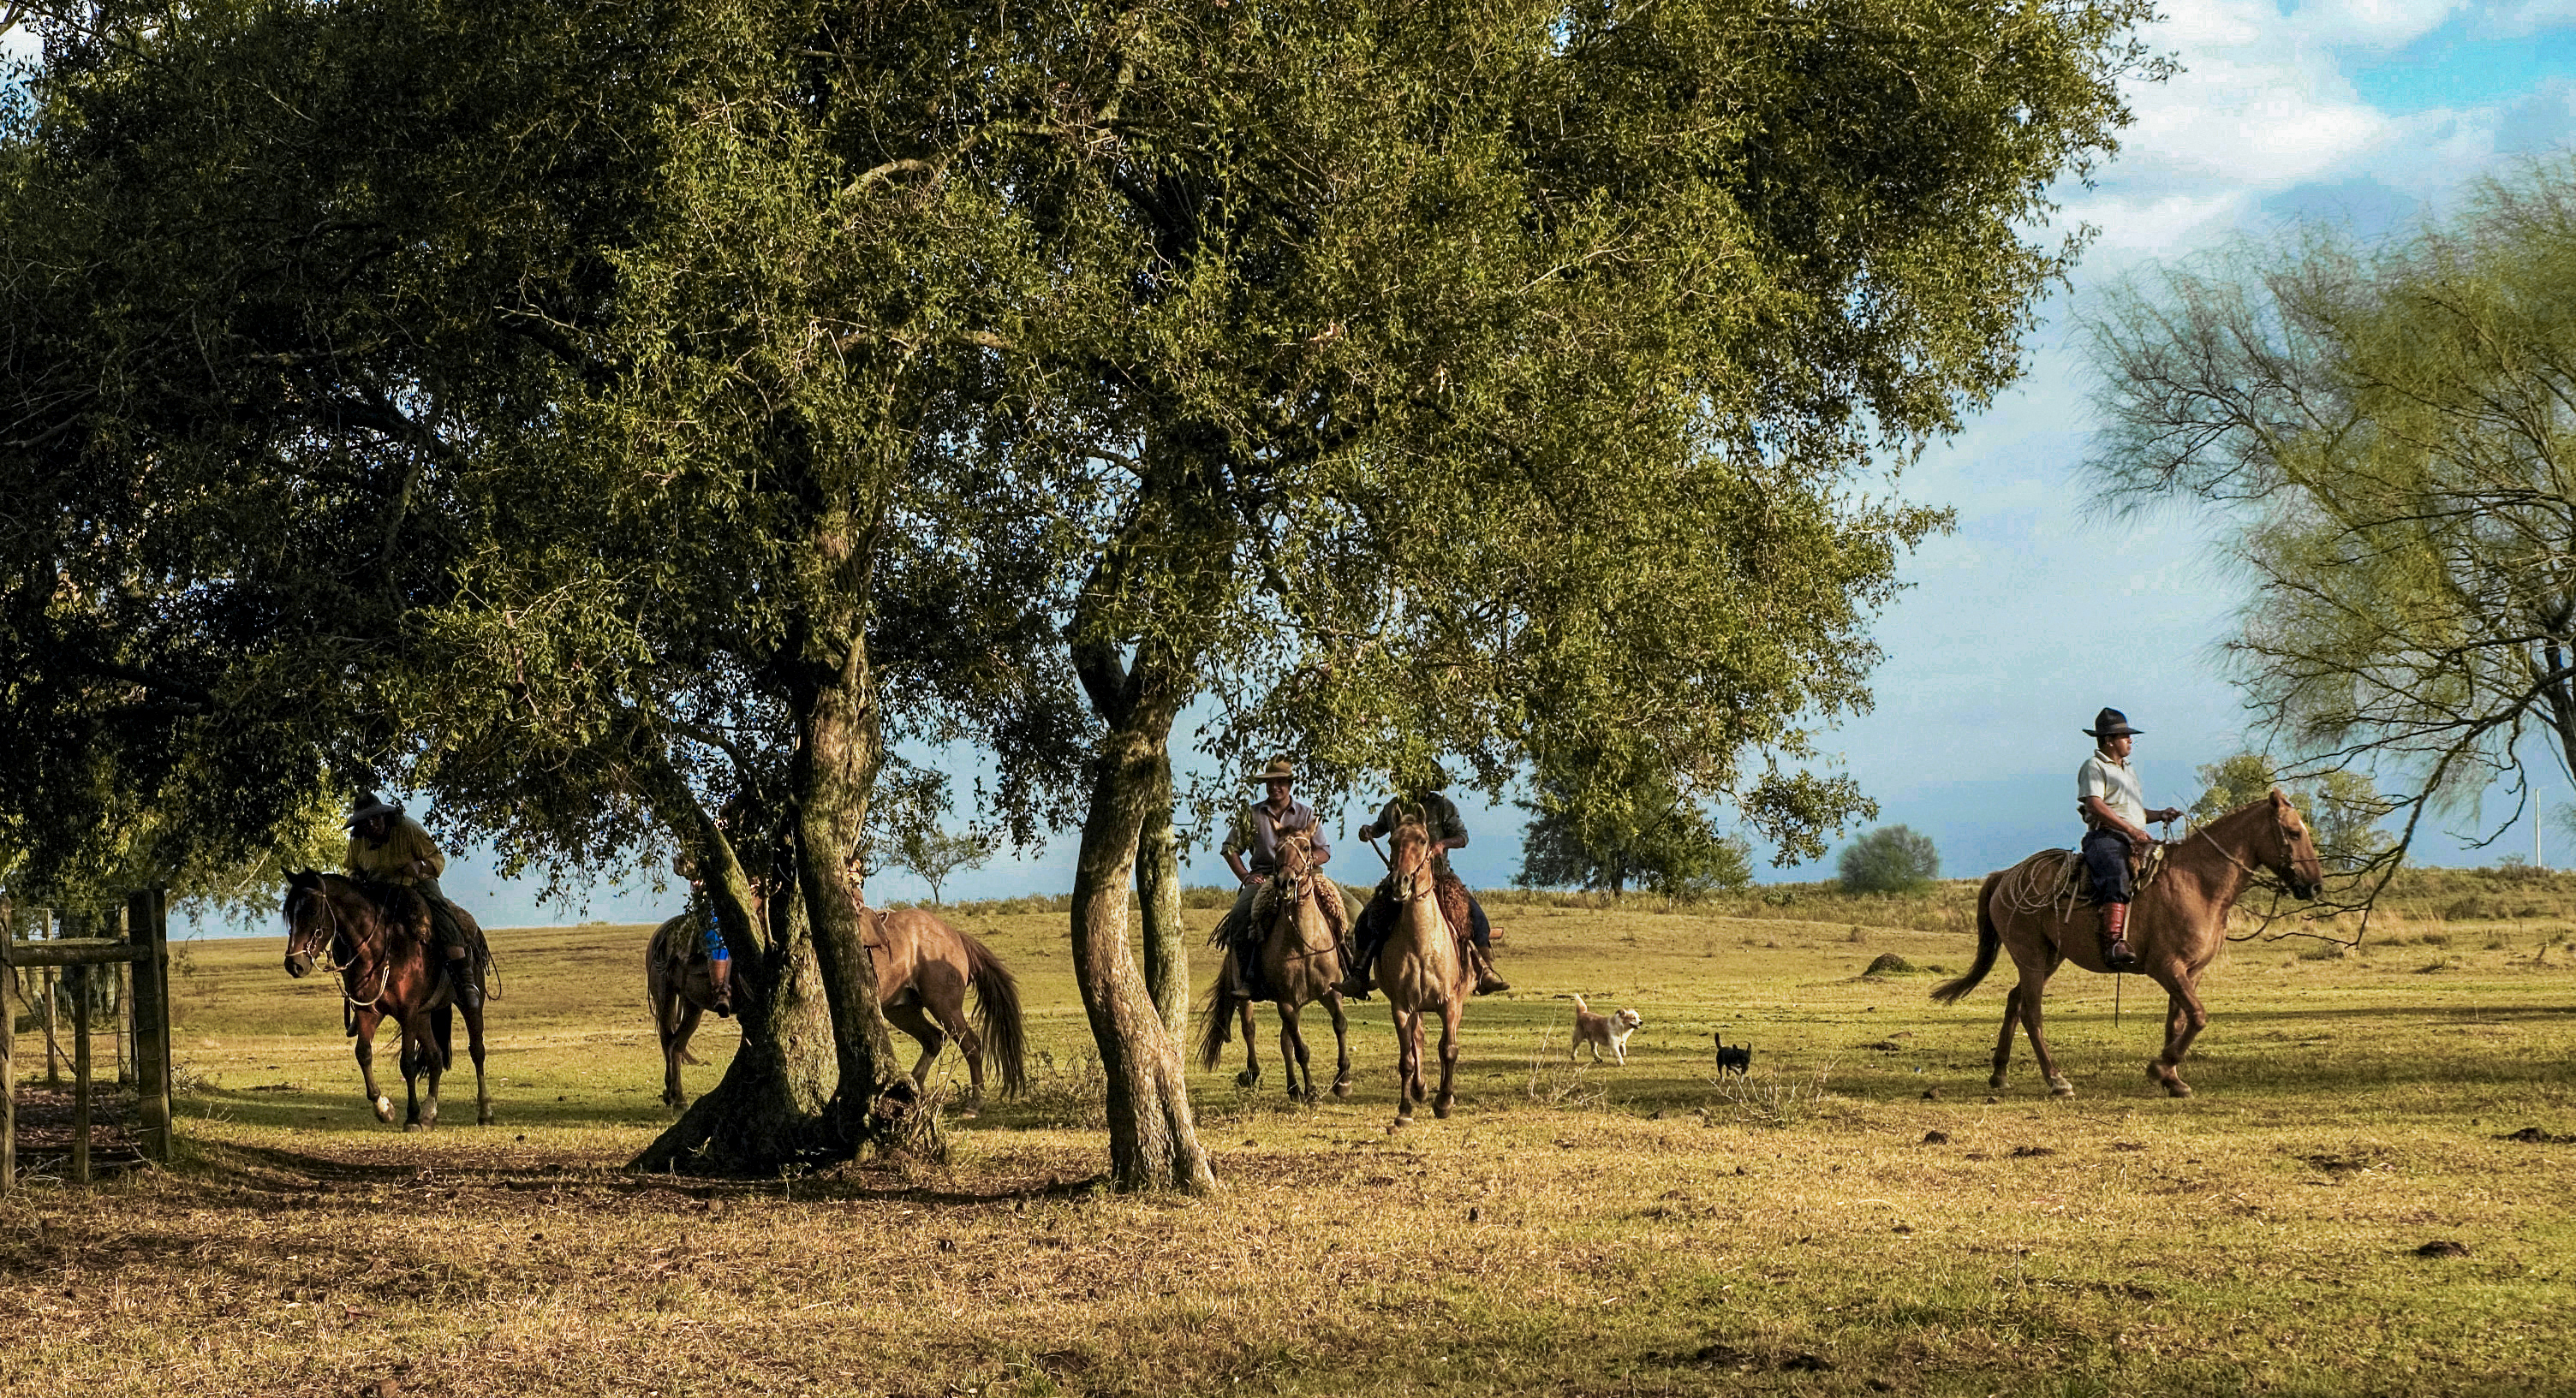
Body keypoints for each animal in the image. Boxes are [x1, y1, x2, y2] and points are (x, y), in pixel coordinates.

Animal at [287, 870, 497, 1133]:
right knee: (435, 1057)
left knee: (477, 1051)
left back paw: (484, 1111)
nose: (294, 964)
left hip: (468, 1006)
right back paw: (429, 1114)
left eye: (313, 911)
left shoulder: (407, 1013)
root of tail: (473, 929)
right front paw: (384, 1108)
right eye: (289, 914)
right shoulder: (370, 1011)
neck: (380, 948)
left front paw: (412, 1118)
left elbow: (407, 1064)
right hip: (423, 1016)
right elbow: (363, 1053)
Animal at [1195, 818, 1360, 1107]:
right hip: (1248, 996)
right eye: (1277, 848)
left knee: (1284, 1041)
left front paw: (1343, 1081)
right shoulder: (1285, 1001)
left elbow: (1339, 1025)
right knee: (1250, 1029)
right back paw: (1254, 1073)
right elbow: (1301, 1049)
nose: (1285, 883)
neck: (1304, 942)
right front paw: (1312, 1091)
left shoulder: (1329, 992)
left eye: (1306, 847)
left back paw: (1293, 1087)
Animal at [1370, 818, 1473, 1127]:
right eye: (1392, 841)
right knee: (1418, 1041)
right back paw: (1420, 1089)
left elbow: (1449, 1049)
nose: (1400, 882)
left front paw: (1445, 1102)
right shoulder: (1401, 1006)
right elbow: (1407, 1058)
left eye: (1424, 841)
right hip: (1416, 1008)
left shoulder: (1451, 1003)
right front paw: (1405, 1110)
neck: (1422, 942)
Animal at [1937, 793, 2339, 1102]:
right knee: (2032, 1013)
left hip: (2049, 958)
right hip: (2033, 957)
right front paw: (2159, 1068)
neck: (2198, 882)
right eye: (2293, 832)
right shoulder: (2166, 968)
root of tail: (2006, 876)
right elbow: (2198, 1016)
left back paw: (2000, 1074)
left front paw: (2172, 1079)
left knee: (2014, 1000)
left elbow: (2178, 1020)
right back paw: (2056, 1080)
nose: (2315, 886)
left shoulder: (2191, 971)